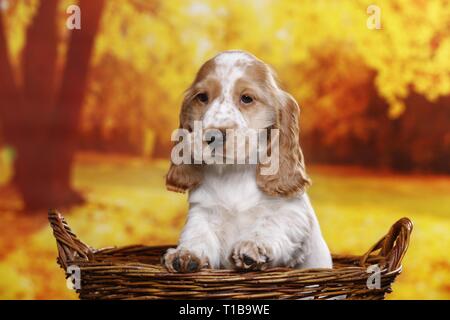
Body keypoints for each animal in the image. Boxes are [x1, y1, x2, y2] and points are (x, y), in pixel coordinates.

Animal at [163, 50, 332, 272]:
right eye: (202, 97)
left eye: (247, 98)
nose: (214, 136)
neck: (234, 171)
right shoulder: (203, 211)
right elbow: (197, 233)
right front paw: (185, 253)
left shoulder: (292, 213)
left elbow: (271, 225)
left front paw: (252, 247)